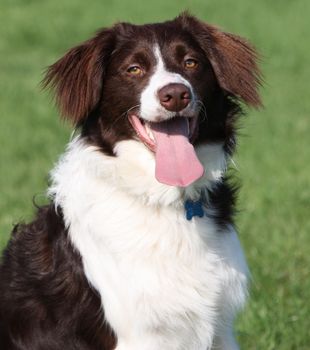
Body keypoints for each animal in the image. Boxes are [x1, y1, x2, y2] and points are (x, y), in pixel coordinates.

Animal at [0, 12, 262, 348]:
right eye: (133, 69)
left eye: (191, 62)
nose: (175, 95)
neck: (164, 197)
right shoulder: (138, 334)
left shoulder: (220, 328)